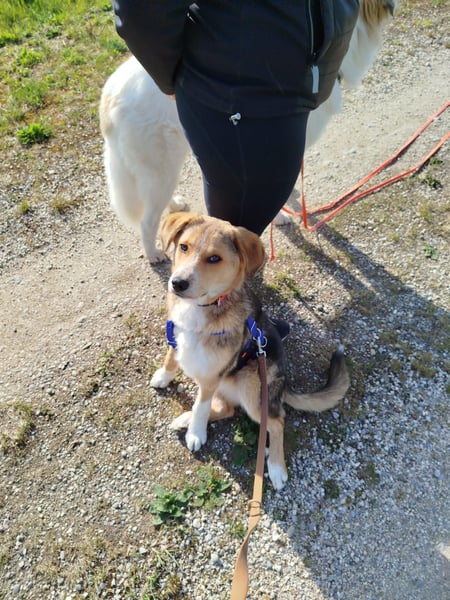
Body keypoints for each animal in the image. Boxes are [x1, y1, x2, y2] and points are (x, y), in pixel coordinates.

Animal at [99, 0, 396, 261]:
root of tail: (110, 95)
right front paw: (283, 215)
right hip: (159, 166)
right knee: (148, 221)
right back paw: (154, 254)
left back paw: (175, 204)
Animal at [149, 212, 350, 490]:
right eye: (184, 247)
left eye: (214, 258)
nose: (177, 283)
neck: (204, 307)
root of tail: (284, 385)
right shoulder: (177, 335)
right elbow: (172, 358)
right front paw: (164, 376)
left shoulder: (212, 376)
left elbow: (201, 406)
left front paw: (196, 433)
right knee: (228, 409)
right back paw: (184, 419)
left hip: (252, 387)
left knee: (276, 421)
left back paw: (276, 466)